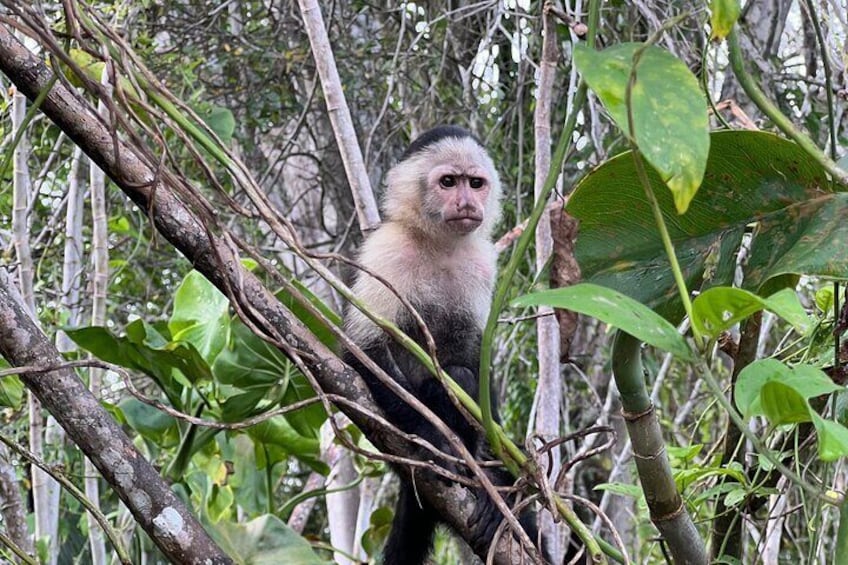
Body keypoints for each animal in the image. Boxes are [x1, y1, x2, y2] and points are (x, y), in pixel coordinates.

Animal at [344, 125, 556, 560]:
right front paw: (432, 438)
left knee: (464, 377)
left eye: (474, 183)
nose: (466, 203)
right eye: (447, 182)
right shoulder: (384, 251)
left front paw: (497, 478)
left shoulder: (484, 263)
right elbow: (363, 348)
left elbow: (477, 359)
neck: (438, 243)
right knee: (451, 380)